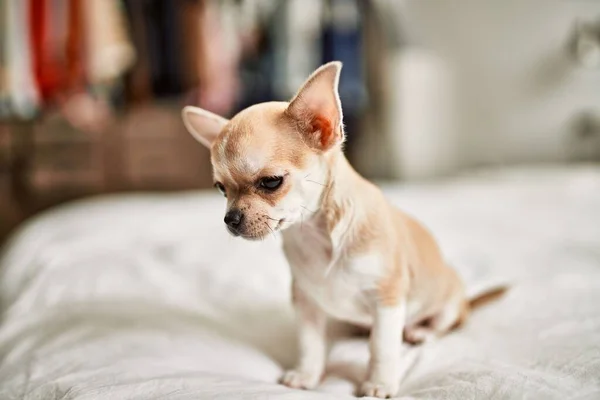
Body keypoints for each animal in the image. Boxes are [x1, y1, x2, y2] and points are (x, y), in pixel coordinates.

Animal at [182, 61, 478, 396]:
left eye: (270, 182)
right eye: (221, 189)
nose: (229, 219)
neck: (314, 233)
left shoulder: (387, 299)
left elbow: (382, 346)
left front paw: (379, 383)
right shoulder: (306, 302)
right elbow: (311, 344)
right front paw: (307, 375)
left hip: (448, 303)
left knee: (444, 325)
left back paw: (420, 332)